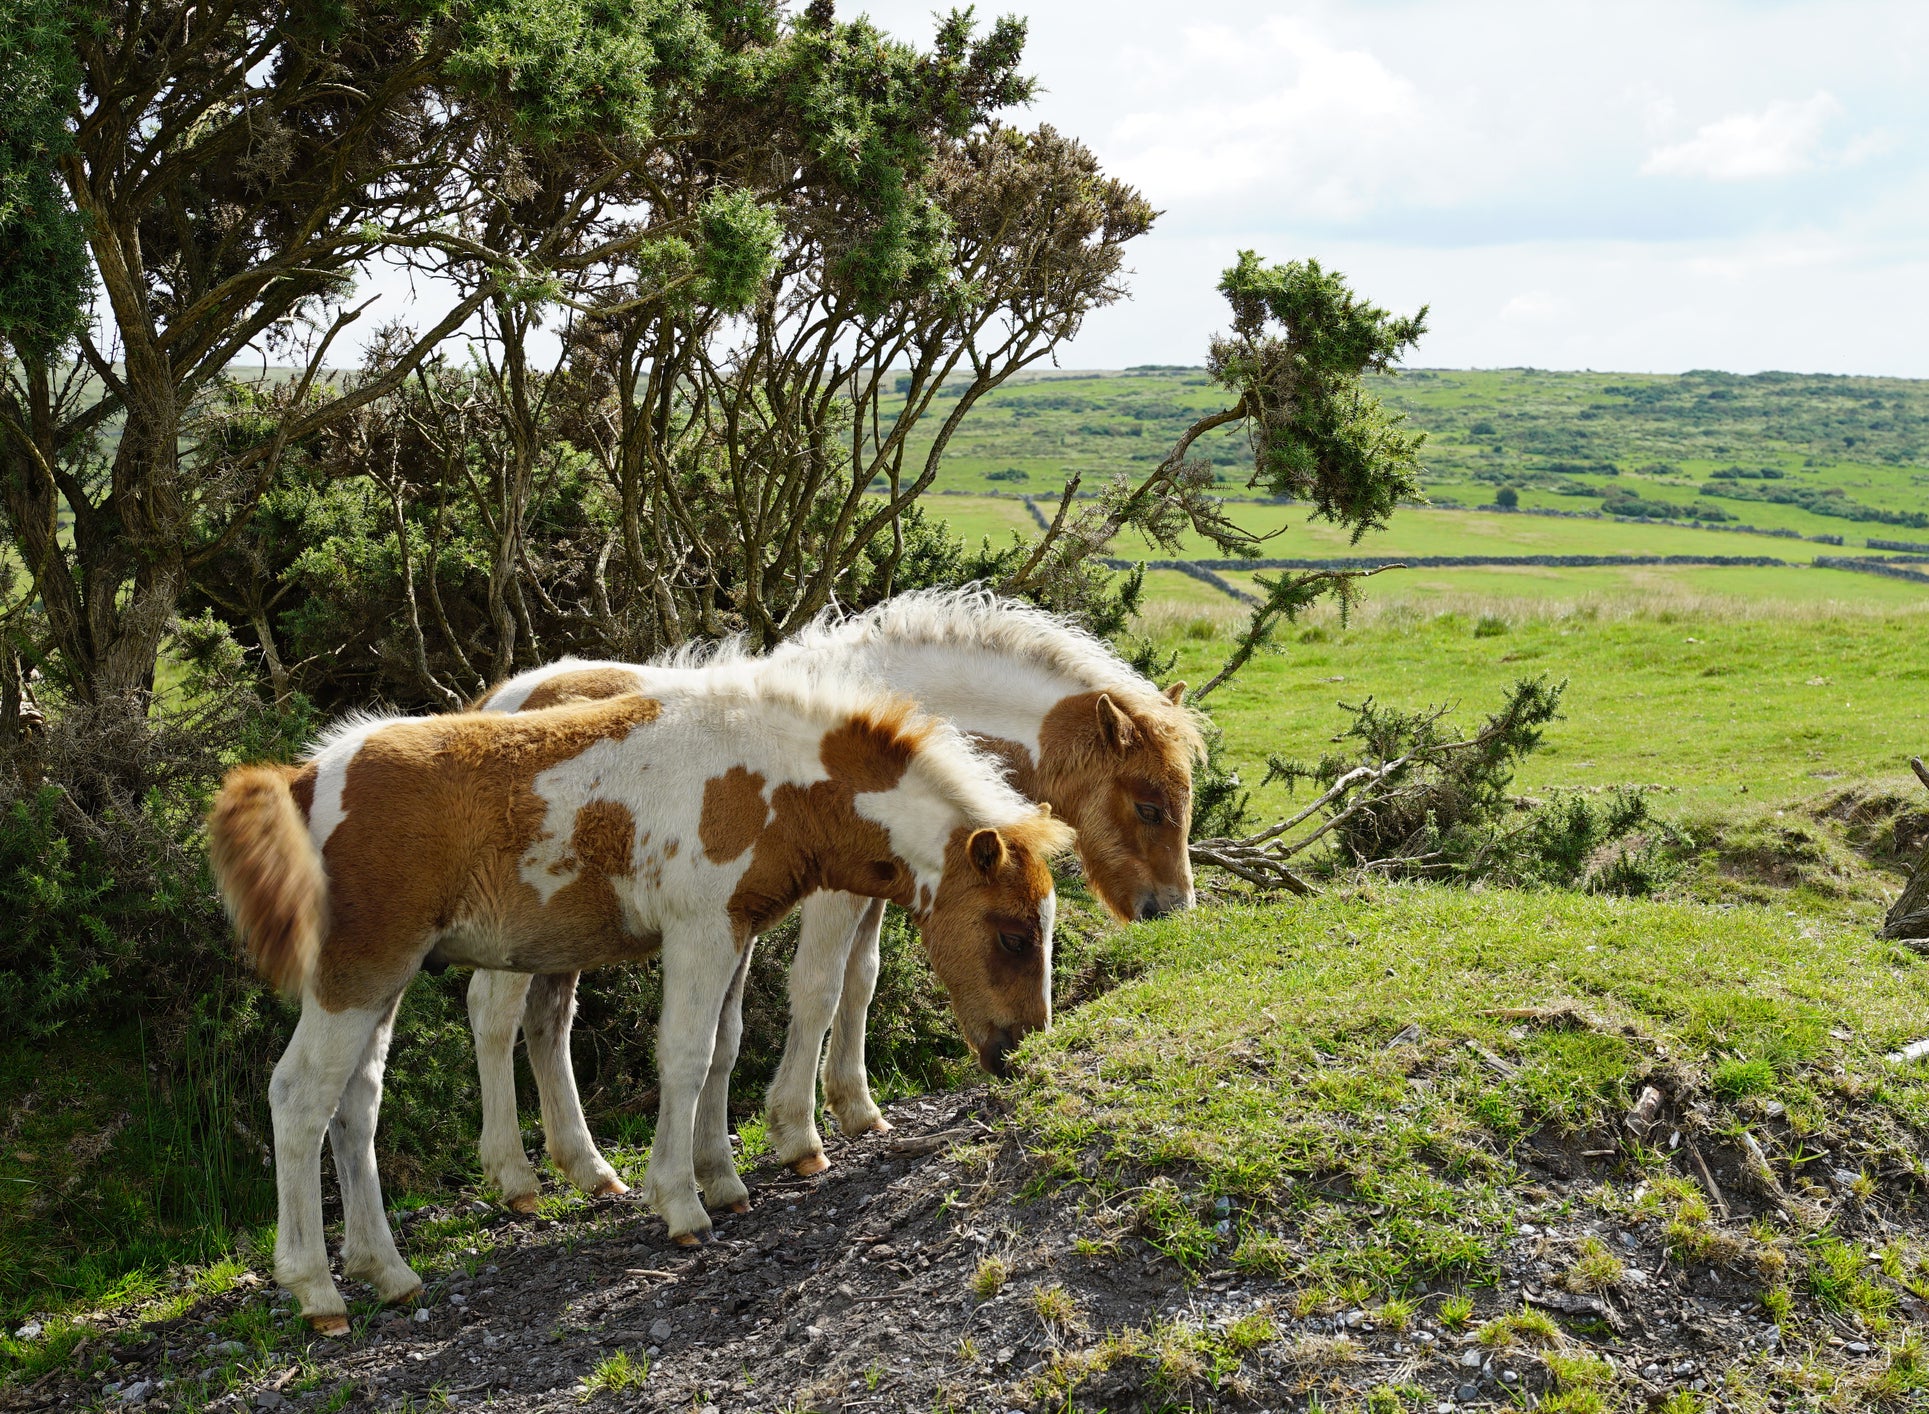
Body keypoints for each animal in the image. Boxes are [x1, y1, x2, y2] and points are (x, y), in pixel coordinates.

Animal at [207, 658, 1073, 1334]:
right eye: (1012, 935)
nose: (1022, 1044)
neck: (765, 775)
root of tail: (302, 779)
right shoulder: (700, 927)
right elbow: (686, 1055)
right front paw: (682, 1205)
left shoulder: (738, 928)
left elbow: (724, 1047)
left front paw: (724, 1180)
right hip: (356, 972)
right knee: (300, 1096)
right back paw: (319, 1292)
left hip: (386, 979)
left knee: (357, 1102)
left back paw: (387, 1271)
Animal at [465, 587, 1205, 1207]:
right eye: (1149, 806)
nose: (1171, 910)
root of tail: (498, 698)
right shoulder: (832, 892)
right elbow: (819, 987)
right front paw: (798, 1135)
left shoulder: (881, 884)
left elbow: (861, 979)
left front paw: (855, 1108)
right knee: (494, 1015)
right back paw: (516, 1178)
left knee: (549, 1023)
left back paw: (589, 1169)